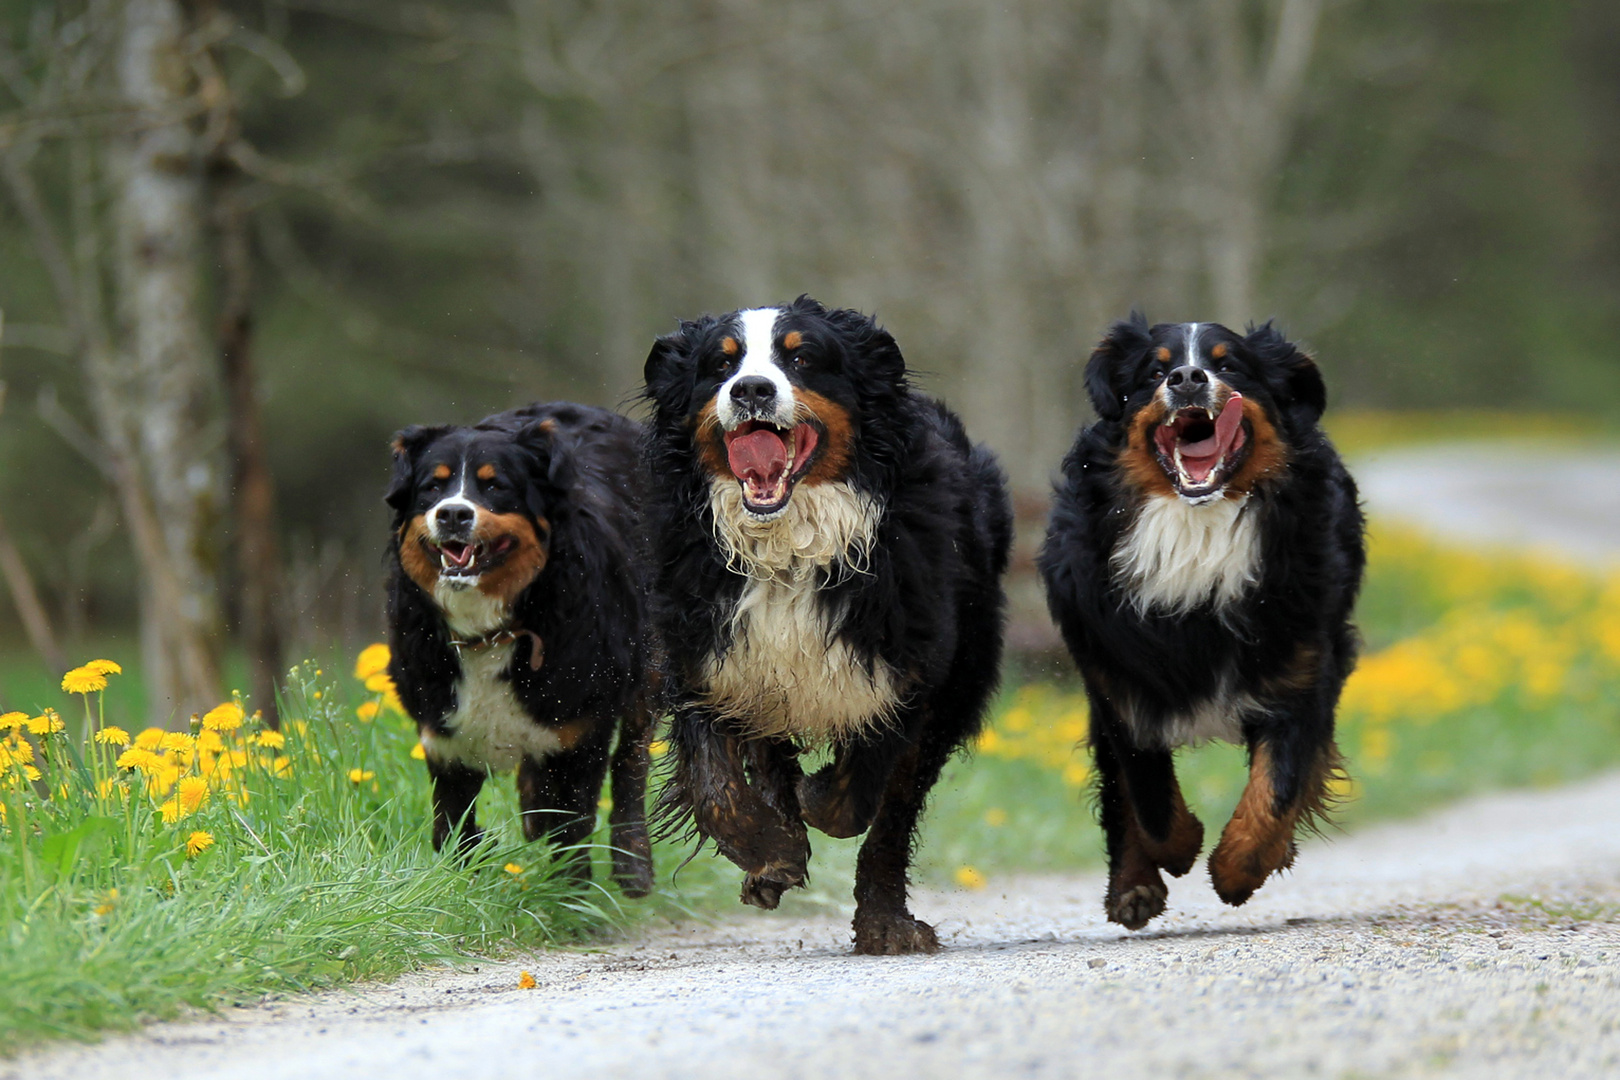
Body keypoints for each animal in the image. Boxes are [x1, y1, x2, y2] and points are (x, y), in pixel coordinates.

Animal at [382, 401, 654, 900]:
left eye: (495, 485)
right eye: (433, 486)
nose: (453, 513)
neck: (493, 632)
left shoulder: (582, 728)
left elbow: (572, 825)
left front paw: (569, 900)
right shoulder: (443, 736)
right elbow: (452, 829)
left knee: (632, 761)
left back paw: (633, 864)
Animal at [638, 293, 1004, 952]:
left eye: (801, 357)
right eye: (720, 364)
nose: (751, 389)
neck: (789, 551)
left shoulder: (907, 676)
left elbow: (863, 800)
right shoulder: (707, 660)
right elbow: (717, 787)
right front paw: (770, 850)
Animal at [1036, 312, 1367, 932]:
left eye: (1229, 365)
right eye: (1154, 370)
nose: (1188, 379)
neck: (1198, 527)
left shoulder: (1300, 671)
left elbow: (1277, 787)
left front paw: (1239, 868)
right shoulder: (1119, 679)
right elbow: (1147, 794)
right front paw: (1180, 846)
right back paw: (1133, 886)